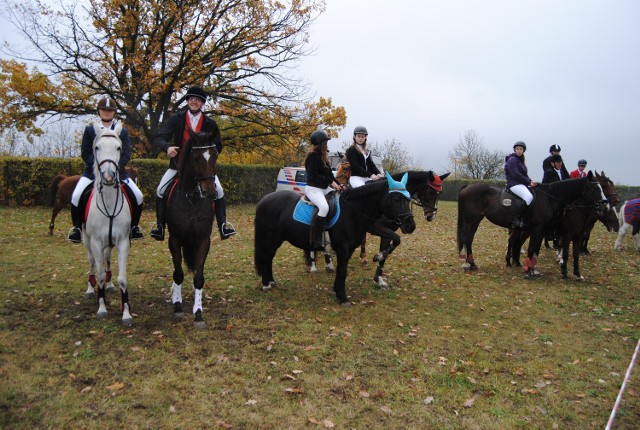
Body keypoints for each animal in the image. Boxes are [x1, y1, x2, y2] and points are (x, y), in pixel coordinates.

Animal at [165, 129, 220, 328]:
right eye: (196, 157)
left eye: (215, 155)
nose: (210, 192)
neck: (193, 199)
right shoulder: (174, 239)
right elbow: (178, 274)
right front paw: (178, 305)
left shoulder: (203, 240)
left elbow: (198, 277)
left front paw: (198, 312)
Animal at [252, 176, 418, 304]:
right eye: (396, 198)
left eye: (408, 198)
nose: (411, 226)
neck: (352, 211)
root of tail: (264, 200)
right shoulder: (344, 249)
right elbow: (343, 271)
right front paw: (343, 297)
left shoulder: (348, 249)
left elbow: (341, 270)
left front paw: (338, 292)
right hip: (268, 237)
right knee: (266, 257)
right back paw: (266, 284)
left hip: (277, 239)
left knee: (269, 258)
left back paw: (271, 282)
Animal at [456, 173, 604, 278]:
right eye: (595, 188)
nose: (603, 205)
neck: (549, 198)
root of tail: (467, 186)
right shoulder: (539, 229)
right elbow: (532, 248)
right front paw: (528, 272)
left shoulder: (541, 230)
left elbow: (536, 248)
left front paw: (533, 270)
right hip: (471, 220)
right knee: (467, 239)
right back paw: (469, 264)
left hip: (476, 220)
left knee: (469, 240)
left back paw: (470, 263)